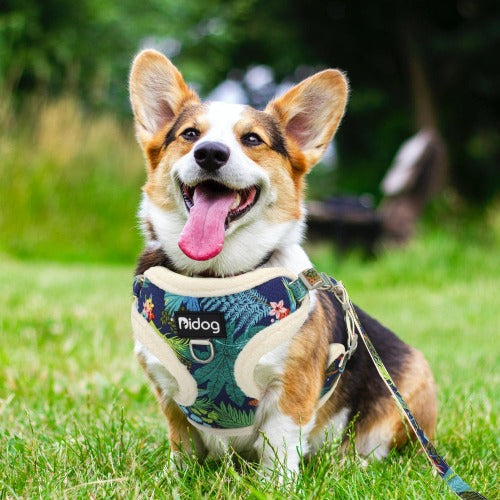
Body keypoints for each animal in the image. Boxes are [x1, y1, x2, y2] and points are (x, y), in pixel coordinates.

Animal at [129, 49, 438, 472]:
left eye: (252, 139)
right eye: (190, 134)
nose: (210, 153)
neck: (213, 281)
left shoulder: (291, 391)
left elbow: (278, 447)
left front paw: (273, 482)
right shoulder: (169, 390)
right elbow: (183, 445)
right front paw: (176, 478)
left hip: (408, 392)